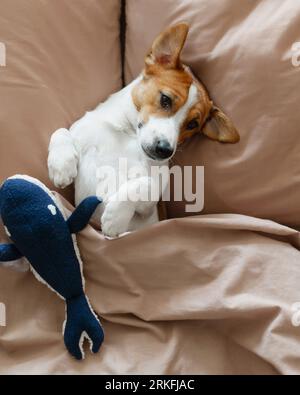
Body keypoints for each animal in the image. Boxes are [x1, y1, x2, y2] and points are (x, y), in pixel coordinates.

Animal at [47, 24, 239, 238]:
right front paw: (61, 165)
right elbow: (61, 131)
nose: (164, 150)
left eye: (192, 125)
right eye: (165, 99)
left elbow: (144, 184)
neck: (128, 135)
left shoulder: (150, 203)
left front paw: (115, 218)